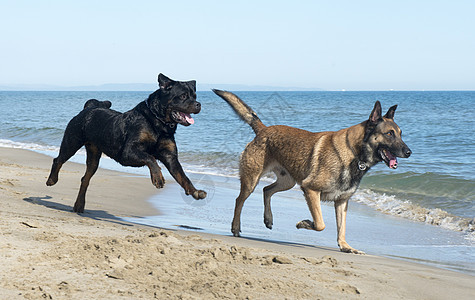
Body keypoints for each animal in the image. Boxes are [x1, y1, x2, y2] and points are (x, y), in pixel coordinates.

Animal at [46, 73, 206, 212]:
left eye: (195, 96)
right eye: (183, 96)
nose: (198, 104)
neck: (159, 124)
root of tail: (89, 107)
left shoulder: (170, 156)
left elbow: (182, 176)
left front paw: (195, 191)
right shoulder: (128, 152)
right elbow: (150, 158)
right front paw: (158, 178)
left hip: (94, 156)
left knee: (85, 178)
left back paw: (79, 205)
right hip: (72, 141)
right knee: (58, 160)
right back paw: (52, 180)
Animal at [214, 89, 410, 253]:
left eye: (400, 133)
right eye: (389, 133)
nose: (409, 152)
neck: (354, 152)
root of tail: (263, 130)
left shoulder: (341, 202)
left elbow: (341, 228)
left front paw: (345, 246)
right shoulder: (310, 189)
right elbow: (320, 224)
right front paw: (305, 223)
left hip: (287, 182)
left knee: (266, 190)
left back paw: (268, 218)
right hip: (251, 181)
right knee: (239, 200)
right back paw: (235, 227)